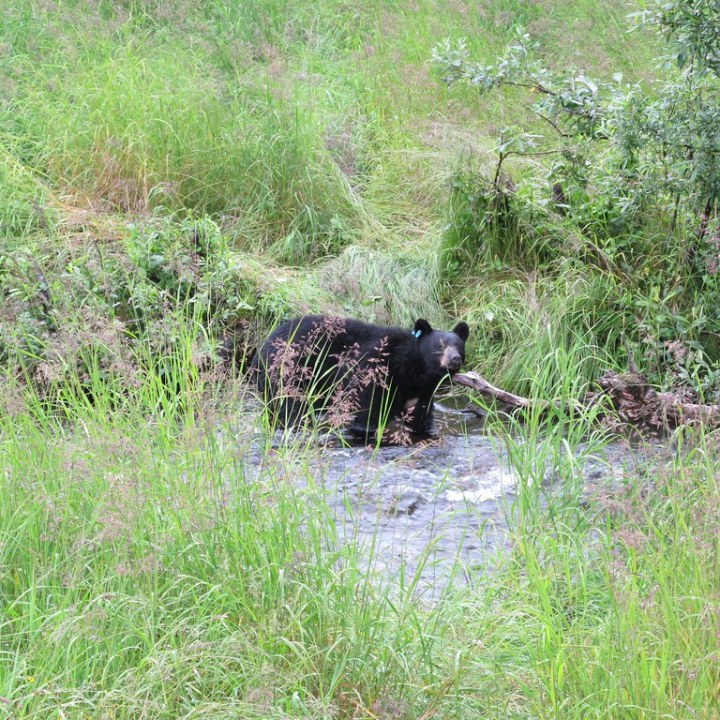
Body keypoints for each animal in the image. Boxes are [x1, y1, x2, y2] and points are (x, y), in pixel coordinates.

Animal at [250, 314, 470, 440]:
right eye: (439, 346)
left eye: (459, 345)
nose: (455, 358)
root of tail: (261, 348)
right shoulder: (374, 370)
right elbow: (366, 411)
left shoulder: (422, 394)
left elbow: (420, 418)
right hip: (289, 374)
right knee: (289, 406)